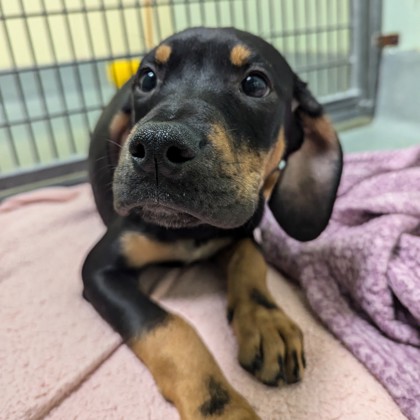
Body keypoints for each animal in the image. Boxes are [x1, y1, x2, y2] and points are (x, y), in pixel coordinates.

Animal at [83, 27, 343, 419]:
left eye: (255, 83)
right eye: (147, 78)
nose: (156, 147)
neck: (192, 228)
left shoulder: (241, 231)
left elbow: (250, 261)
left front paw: (268, 323)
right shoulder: (99, 269)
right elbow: (169, 326)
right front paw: (222, 408)